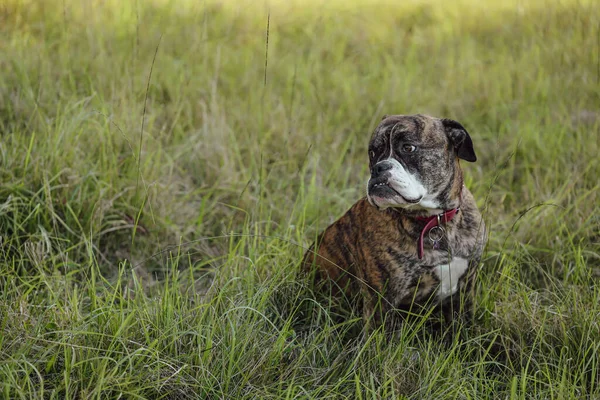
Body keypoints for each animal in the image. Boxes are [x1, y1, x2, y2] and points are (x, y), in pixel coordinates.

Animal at [302, 113, 486, 328]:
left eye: (408, 148)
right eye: (373, 153)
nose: (378, 168)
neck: (434, 221)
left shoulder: (465, 291)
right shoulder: (382, 301)